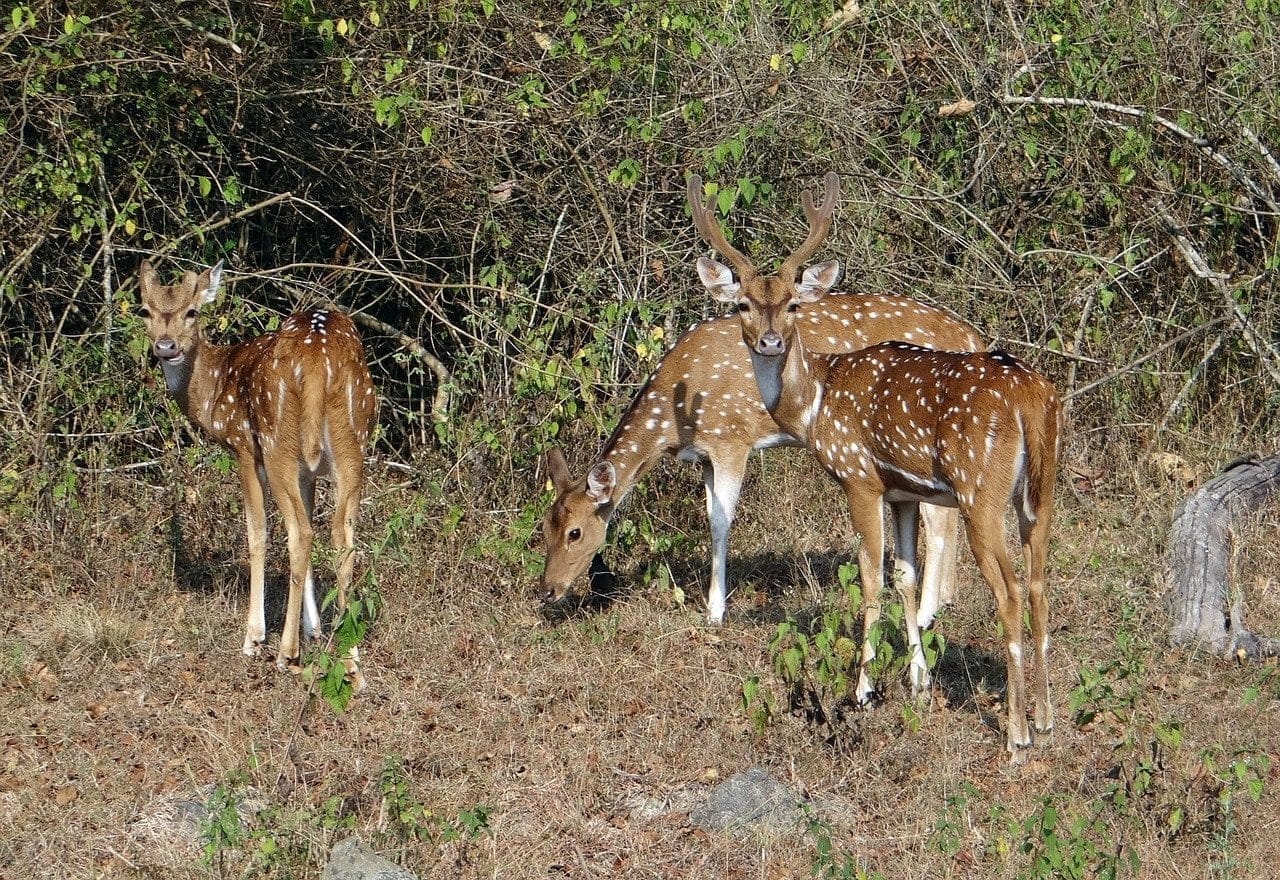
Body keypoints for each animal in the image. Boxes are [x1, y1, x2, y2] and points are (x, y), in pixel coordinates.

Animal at [137, 260, 377, 690]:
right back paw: (351, 663)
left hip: (275, 440)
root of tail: (318, 360)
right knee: (340, 537)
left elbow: (257, 533)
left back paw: (285, 654)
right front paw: (314, 629)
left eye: (191, 312)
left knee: (300, 533)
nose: (166, 347)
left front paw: (255, 637)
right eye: (144, 311)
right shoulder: (308, 472)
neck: (211, 396)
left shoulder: (243, 448)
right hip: (353, 440)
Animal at [541, 233, 984, 628]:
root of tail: (971, 336)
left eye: (575, 533)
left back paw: (927, 613)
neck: (674, 418)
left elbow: (720, 522)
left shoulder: (731, 439)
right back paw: (943, 602)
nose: (547, 590)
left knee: (938, 519)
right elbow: (710, 514)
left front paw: (716, 612)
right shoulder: (705, 456)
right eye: (545, 527)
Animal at [688, 172, 1061, 760]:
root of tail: (1030, 397)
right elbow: (906, 575)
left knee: (1010, 591)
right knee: (1041, 581)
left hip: (981, 490)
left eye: (793, 305)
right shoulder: (903, 490)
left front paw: (862, 688)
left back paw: (1017, 732)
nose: (769, 341)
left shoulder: (859, 477)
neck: (815, 404)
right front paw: (918, 679)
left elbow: (870, 577)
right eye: (744, 304)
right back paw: (1045, 719)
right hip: (1041, 491)